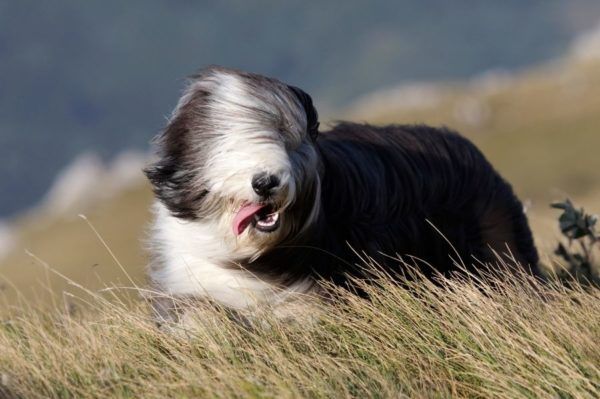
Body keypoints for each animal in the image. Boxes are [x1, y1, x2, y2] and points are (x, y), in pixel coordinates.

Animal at [145, 65, 540, 322]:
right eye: (225, 144)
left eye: (287, 139)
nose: (266, 181)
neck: (249, 252)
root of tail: (469, 149)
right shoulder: (189, 278)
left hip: (496, 251)